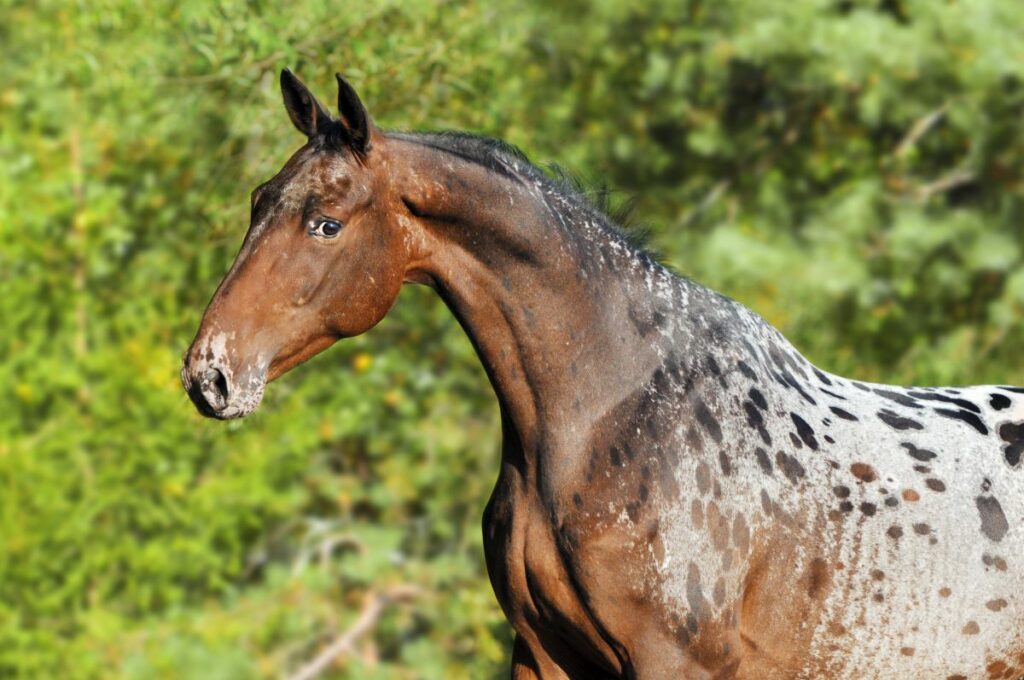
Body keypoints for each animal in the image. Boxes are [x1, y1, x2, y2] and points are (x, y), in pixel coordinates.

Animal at [182, 71, 1024, 675]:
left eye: (325, 223)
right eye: (259, 201)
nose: (209, 374)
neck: (612, 416)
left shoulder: (674, 664)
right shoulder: (544, 653)